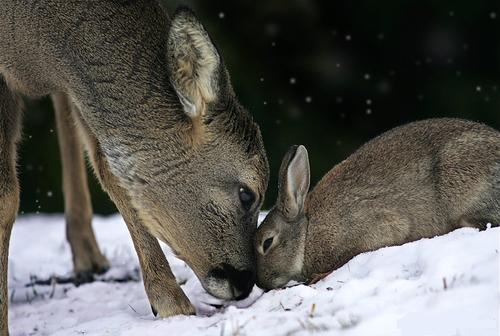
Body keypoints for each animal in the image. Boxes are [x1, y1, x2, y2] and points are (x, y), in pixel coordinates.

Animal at [0, 1, 270, 334]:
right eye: (247, 193)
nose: (245, 282)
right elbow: (6, 197)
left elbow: (111, 170)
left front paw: (170, 302)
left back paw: (88, 256)